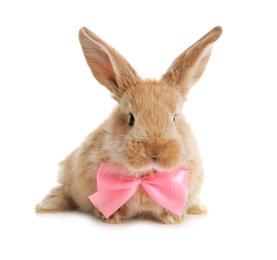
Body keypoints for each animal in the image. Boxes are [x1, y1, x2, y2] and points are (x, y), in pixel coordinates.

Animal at [36, 25, 222, 223]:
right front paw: (112, 218)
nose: (155, 151)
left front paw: (172, 219)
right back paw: (46, 205)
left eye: (174, 118)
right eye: (131, 118)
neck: (146, 176)